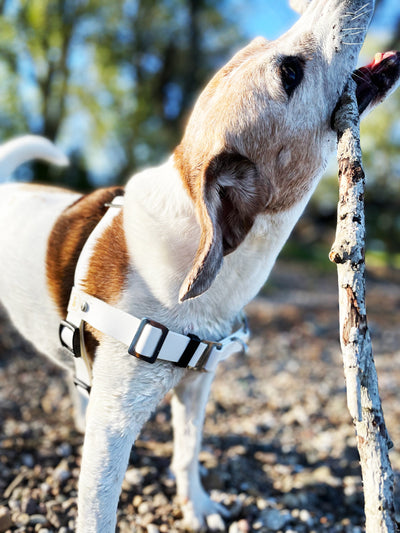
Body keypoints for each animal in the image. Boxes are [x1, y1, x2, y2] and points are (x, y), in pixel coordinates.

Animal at [0, 0, 400, 528]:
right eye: (289, 73)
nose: (352, 4)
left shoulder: (196, 387)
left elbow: (188, 452)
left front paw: (198, 507)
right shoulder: (114, 428)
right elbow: (99, 509)